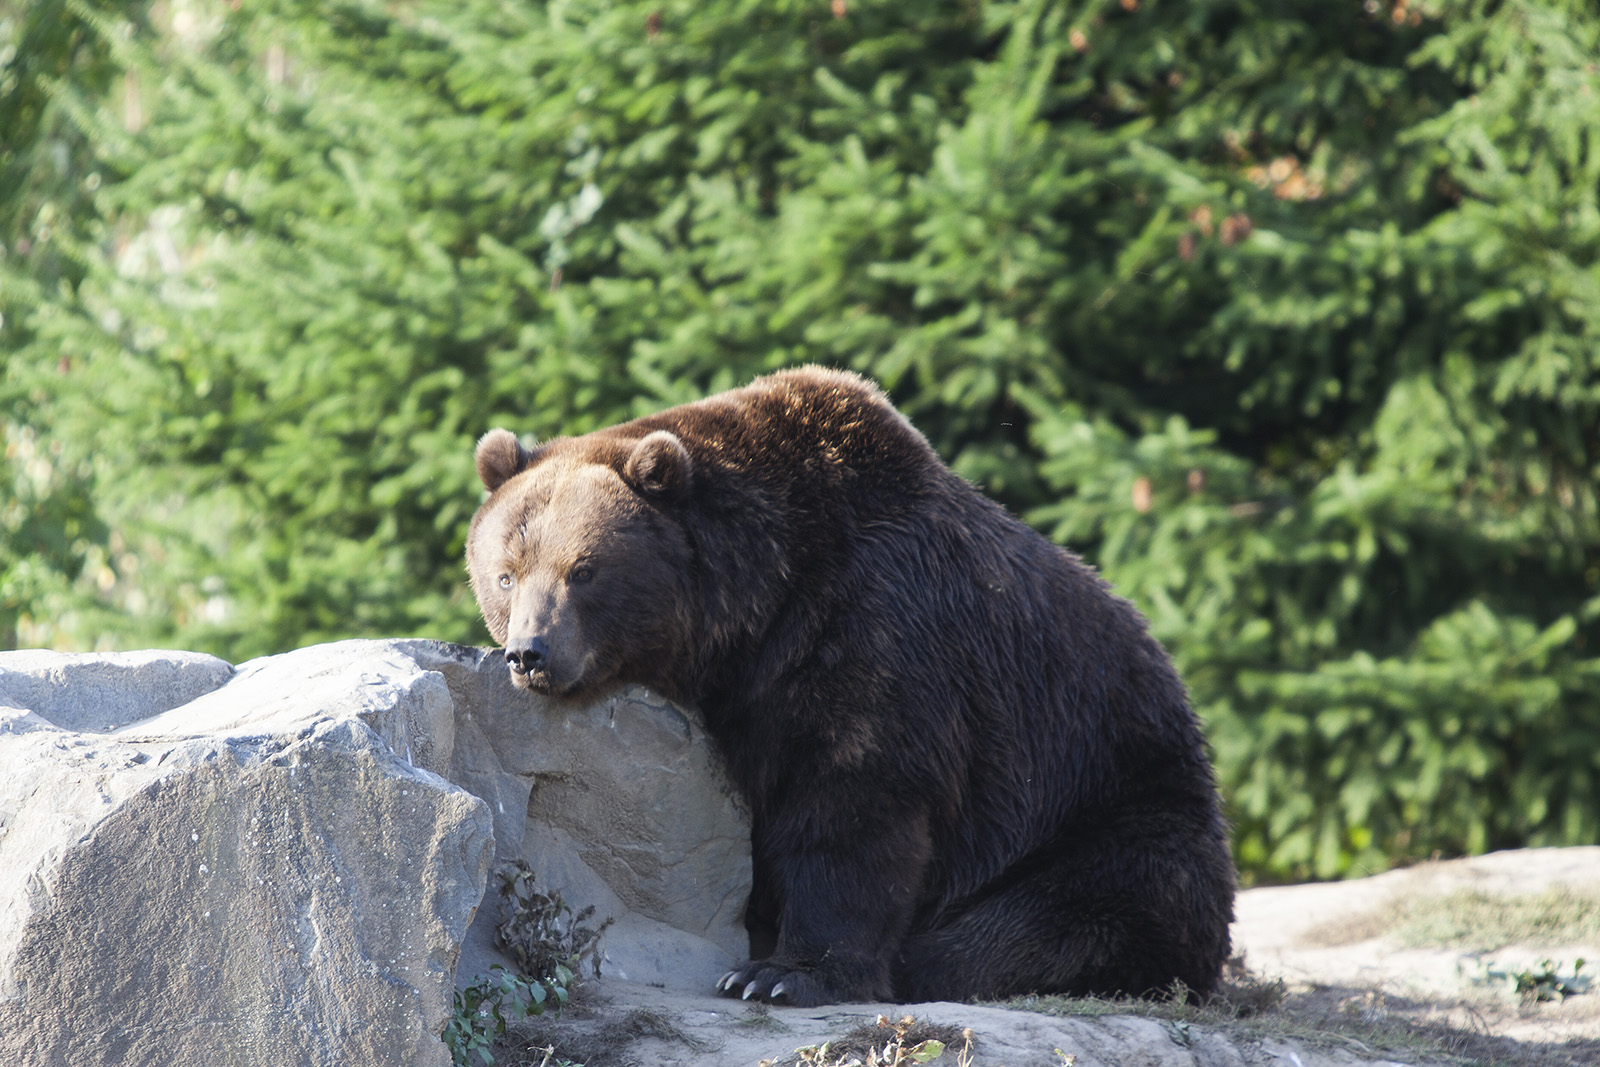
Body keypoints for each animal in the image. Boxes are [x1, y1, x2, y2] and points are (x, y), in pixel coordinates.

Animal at [464, 369, 1235, 1011]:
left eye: (584, 570)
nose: (530, 653)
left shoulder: (881, 628)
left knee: (1040, 924)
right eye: (505, 571)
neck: (763, 605)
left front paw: (777, 973)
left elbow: (856, 801)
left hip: (1110, 809)